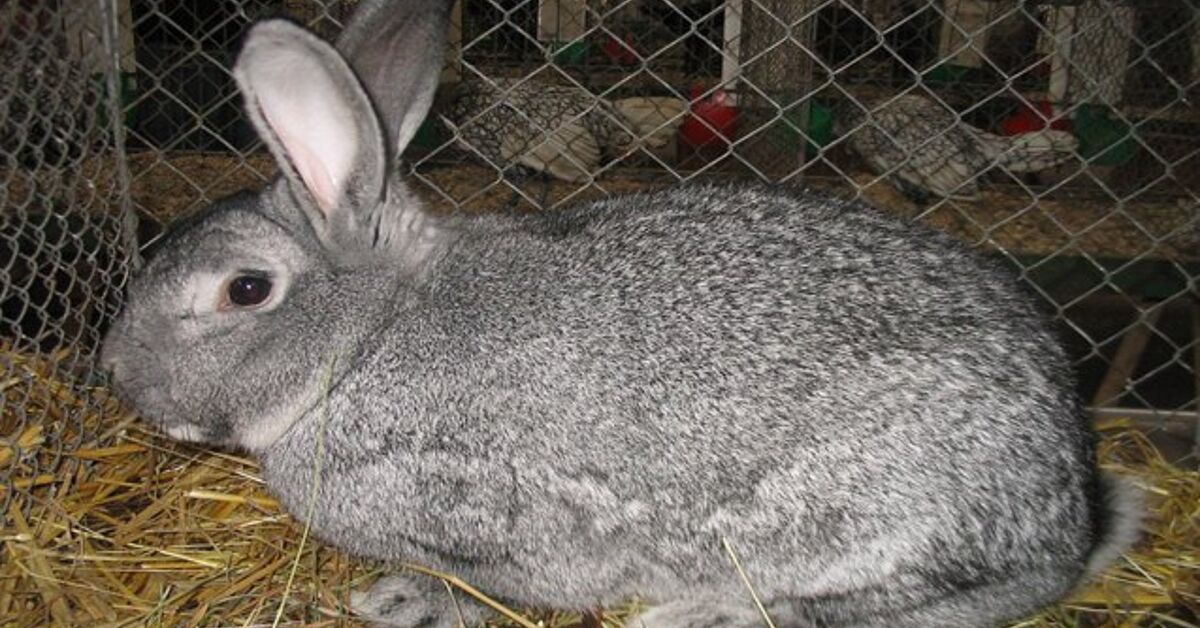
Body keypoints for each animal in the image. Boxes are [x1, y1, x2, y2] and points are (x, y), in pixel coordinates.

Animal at [99, 1, 1143, 626]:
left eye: (245, 290)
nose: (115, 372)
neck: (366, 344)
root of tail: (1070, 507)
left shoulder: (494, 517)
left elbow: (498, 587)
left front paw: (406, 601)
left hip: (874, 517)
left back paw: (699, 612)